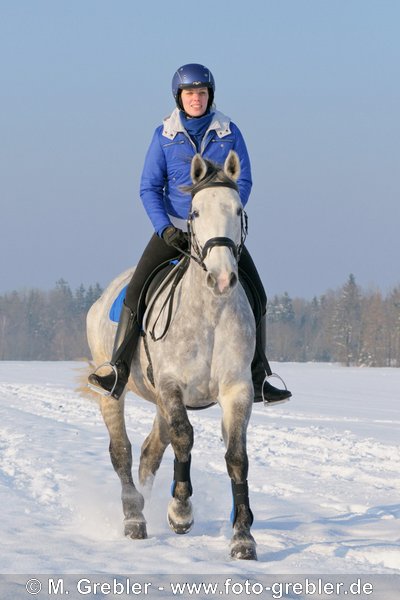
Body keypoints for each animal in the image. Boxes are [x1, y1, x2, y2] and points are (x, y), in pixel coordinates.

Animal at [86, 152, 258, 560]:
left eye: (238, 208)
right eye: (194, 212)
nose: (222, 278)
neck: (209, 314)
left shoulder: (237, 390)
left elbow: (237, 457)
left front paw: (243, 537)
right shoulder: (171, 384)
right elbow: (184, 437)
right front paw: (180, 512)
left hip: (160, 402)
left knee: (150, 452)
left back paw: (145, 505)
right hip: (114, 391)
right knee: (122, 451)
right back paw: (135, 518)